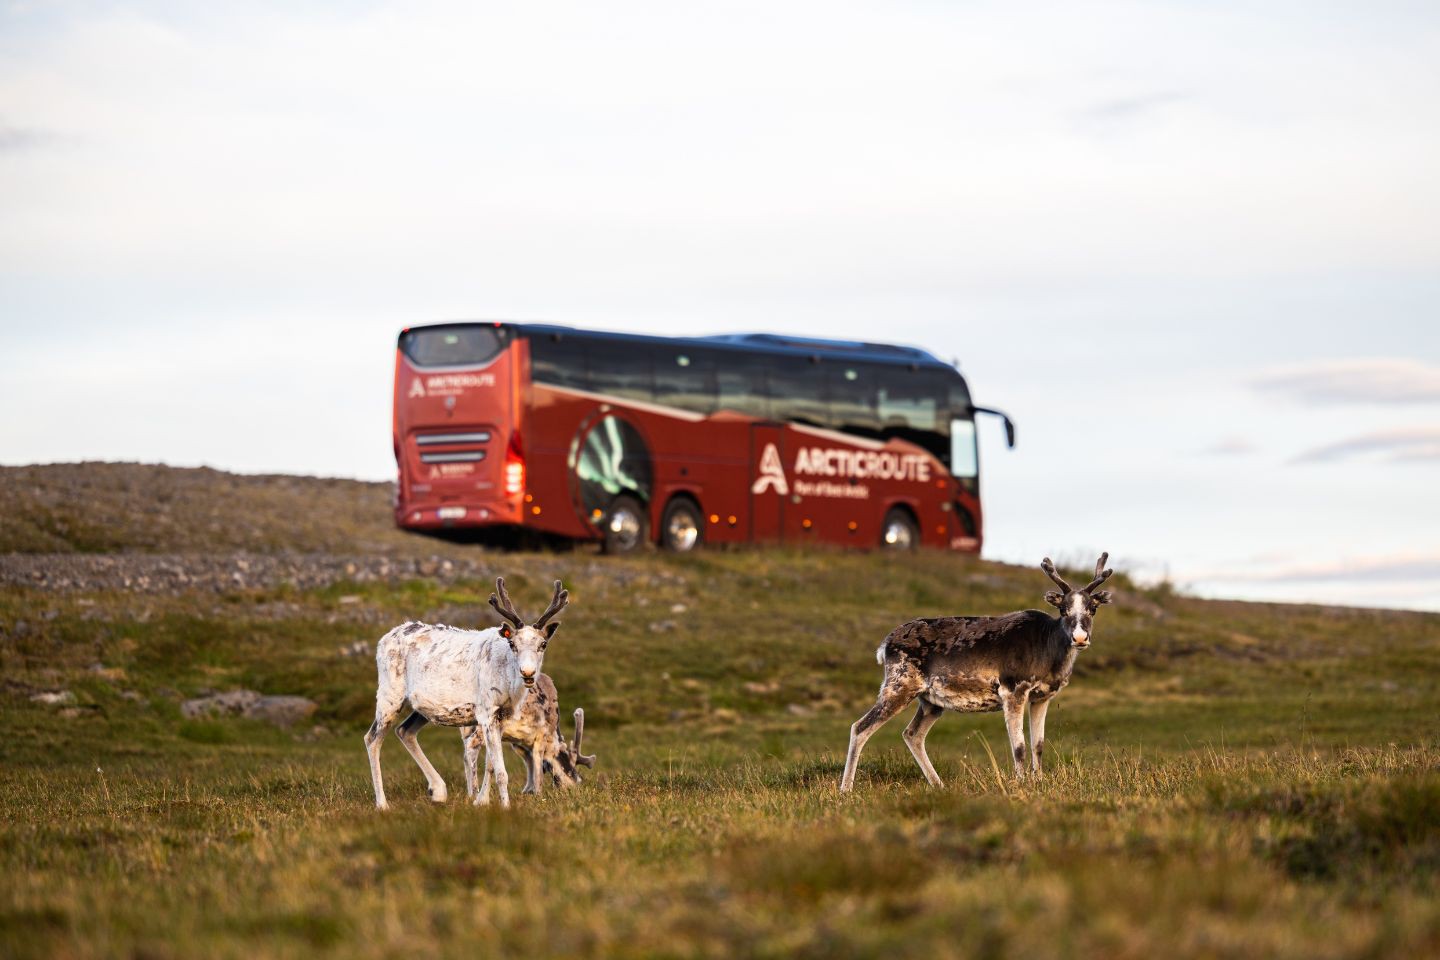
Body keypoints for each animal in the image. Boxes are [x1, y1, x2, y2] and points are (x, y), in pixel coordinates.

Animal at [840, 552, 1111, 794]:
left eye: (1093, 608)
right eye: (1063, 609)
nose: (1080, 638)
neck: (1049, 654)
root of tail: (884, 645)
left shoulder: (1042, 697)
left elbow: (1038, 745)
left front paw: (1039, 782)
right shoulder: (1013, 690)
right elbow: (1019, 746)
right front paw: (1021, 783)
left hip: (930, 701)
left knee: (912, 734)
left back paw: (939, 785)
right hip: (899, 684)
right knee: (860, 727)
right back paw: (846, 790)